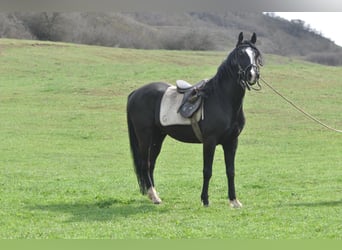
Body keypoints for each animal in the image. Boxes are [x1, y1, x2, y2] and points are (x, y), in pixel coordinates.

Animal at [125, 32, 262, 207]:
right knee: (144, 164)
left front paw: (234, 200)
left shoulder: (231, 142)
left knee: (151, 164)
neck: (222, 98)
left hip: (158, 137)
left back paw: (154, 194)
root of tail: (135, 93)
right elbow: (207, 171)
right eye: (240, 54)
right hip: (145, 136)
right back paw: (154, 197)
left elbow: (230, 171)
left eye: (256, 54)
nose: (253, 75)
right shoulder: (210, 141)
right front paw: (205, 200)